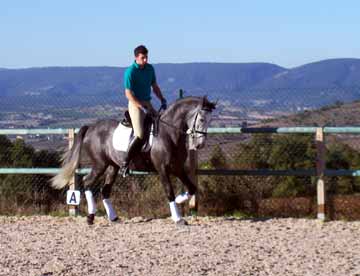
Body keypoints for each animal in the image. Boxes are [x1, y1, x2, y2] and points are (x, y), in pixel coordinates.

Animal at [51, 96, 215, 225]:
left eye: (210, 120)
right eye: (201, 119)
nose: (200, 145)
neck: (169, 133)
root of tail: (91, 127)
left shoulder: (177, 168)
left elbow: (192, 187)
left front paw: (181, 200)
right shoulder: (162, 169)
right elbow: (169, 192)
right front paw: (178, 219)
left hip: (113, 166)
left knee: (105, 190)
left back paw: (114, 218)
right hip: (100, 164)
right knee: (87, 182)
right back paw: (90, 217)